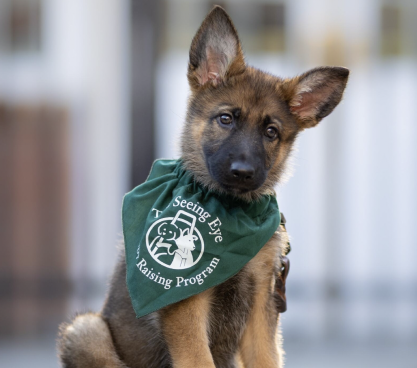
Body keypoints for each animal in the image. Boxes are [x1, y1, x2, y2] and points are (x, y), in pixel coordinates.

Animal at [57, 5, 348, 368]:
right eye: (226, 119)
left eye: (271, 132)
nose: (243, 172)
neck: (229, 209)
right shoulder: (185, 303)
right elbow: (197, 358)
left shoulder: (261, 303)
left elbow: (266, 358)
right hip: (85, 330)